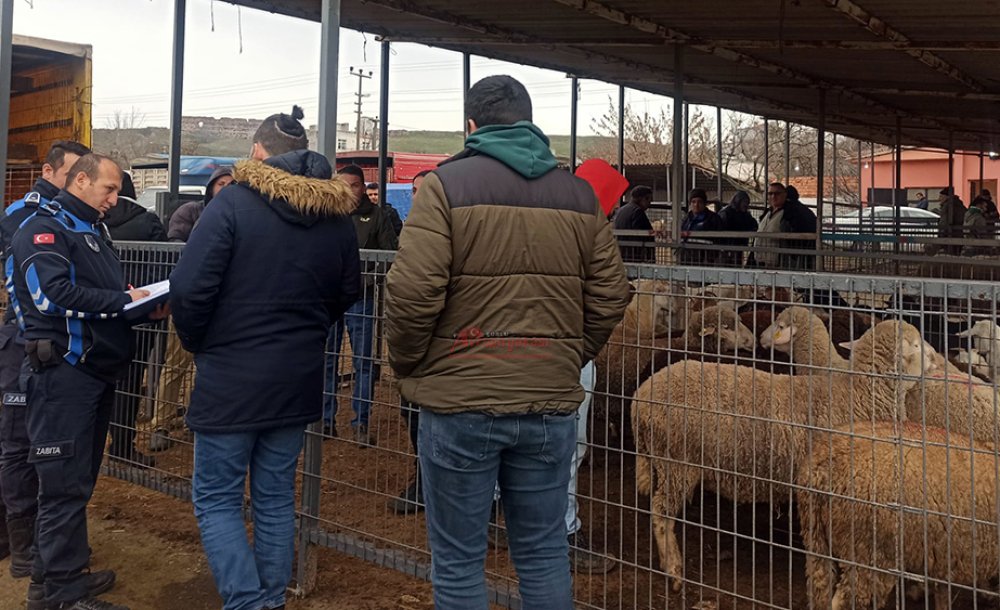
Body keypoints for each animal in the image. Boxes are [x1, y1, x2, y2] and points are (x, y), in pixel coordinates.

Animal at [632, 318, 928, 588]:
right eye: (916, 345)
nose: (934, 364)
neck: (859, 395)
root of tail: (639, 397)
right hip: (676, 462)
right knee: (661, 513)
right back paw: (673, 568)